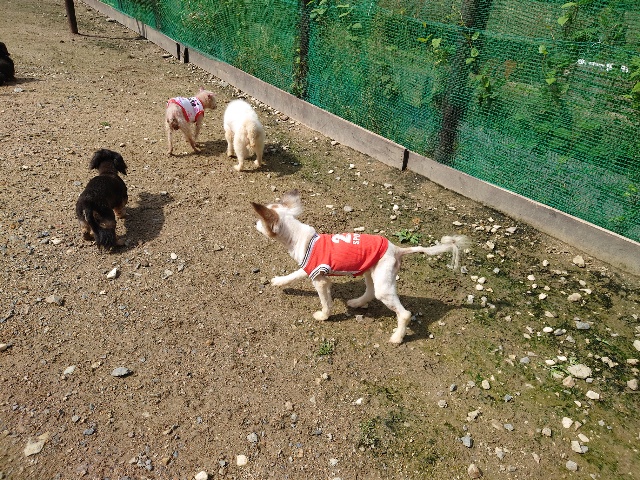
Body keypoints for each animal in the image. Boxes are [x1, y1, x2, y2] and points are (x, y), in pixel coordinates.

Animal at [252, 190, 469, 344]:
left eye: (261, 222)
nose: (254, 224)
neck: (298, 238)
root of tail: (397, 249)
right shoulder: (310, 269)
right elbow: (294, 275)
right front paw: (279, 282)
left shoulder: (319, 278)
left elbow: (325, 301)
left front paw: (323, 316)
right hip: (371, 272)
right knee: (370, 292)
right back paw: (356, 303)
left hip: (383, 283)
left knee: (404, 313)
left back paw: (397, 337)